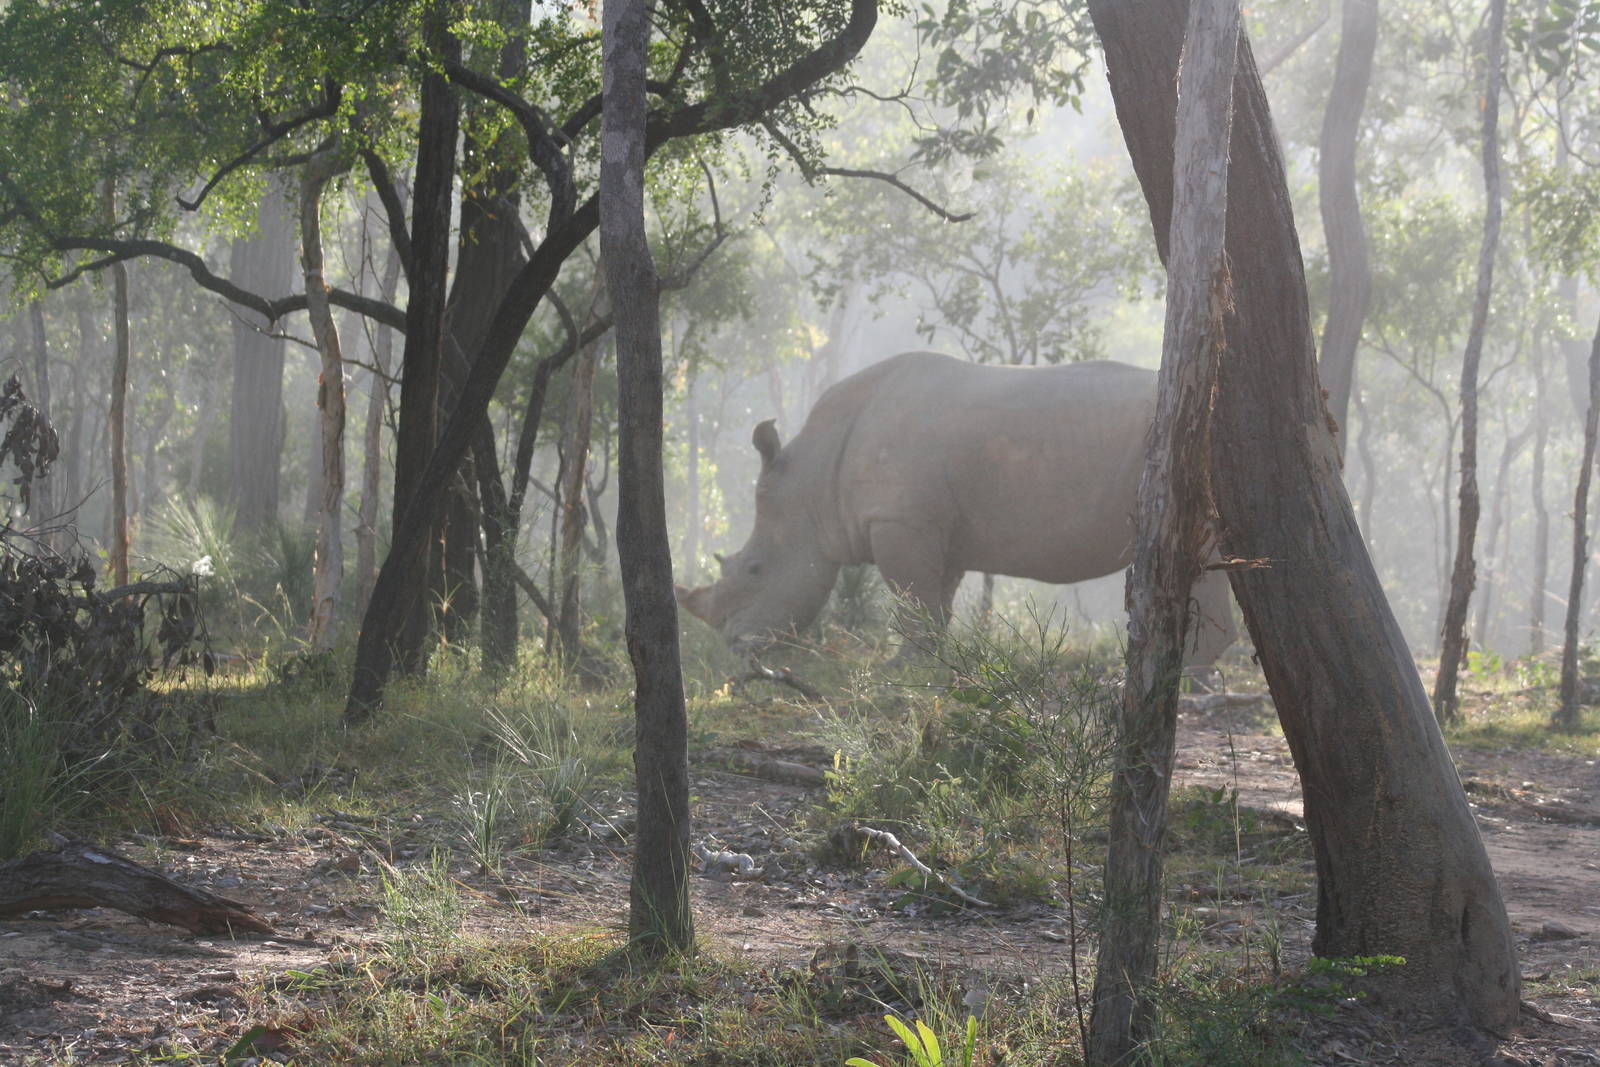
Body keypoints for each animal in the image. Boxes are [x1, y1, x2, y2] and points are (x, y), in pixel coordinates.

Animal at [675, 351, 1237, 664]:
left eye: (754, 568)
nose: (734, 647)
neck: (812, 481)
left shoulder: (901, 520)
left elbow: (913, 599)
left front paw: (901, 668)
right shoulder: (936, 527)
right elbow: (936, 600)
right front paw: (931, 664)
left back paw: (1189, 676)